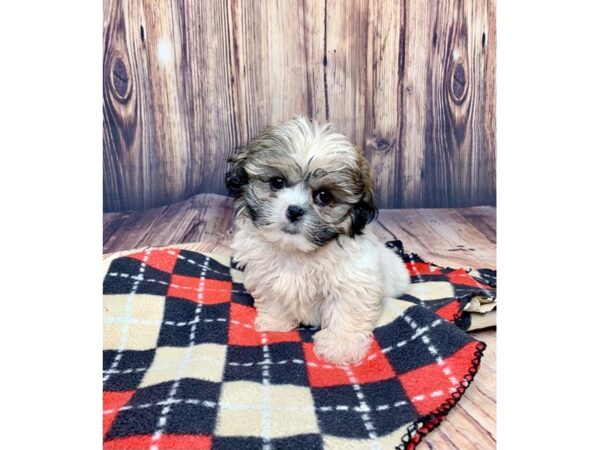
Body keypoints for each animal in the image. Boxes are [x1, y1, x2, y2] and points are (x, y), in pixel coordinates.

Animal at [226, 116, 412, 366]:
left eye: (324, 196)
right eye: (277, 182)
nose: (294, 211)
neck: (297, 251)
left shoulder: (353, 282)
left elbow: (346, 311)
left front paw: (340, 346)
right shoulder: (265, 274)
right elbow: (273, 297)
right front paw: (275, 321)